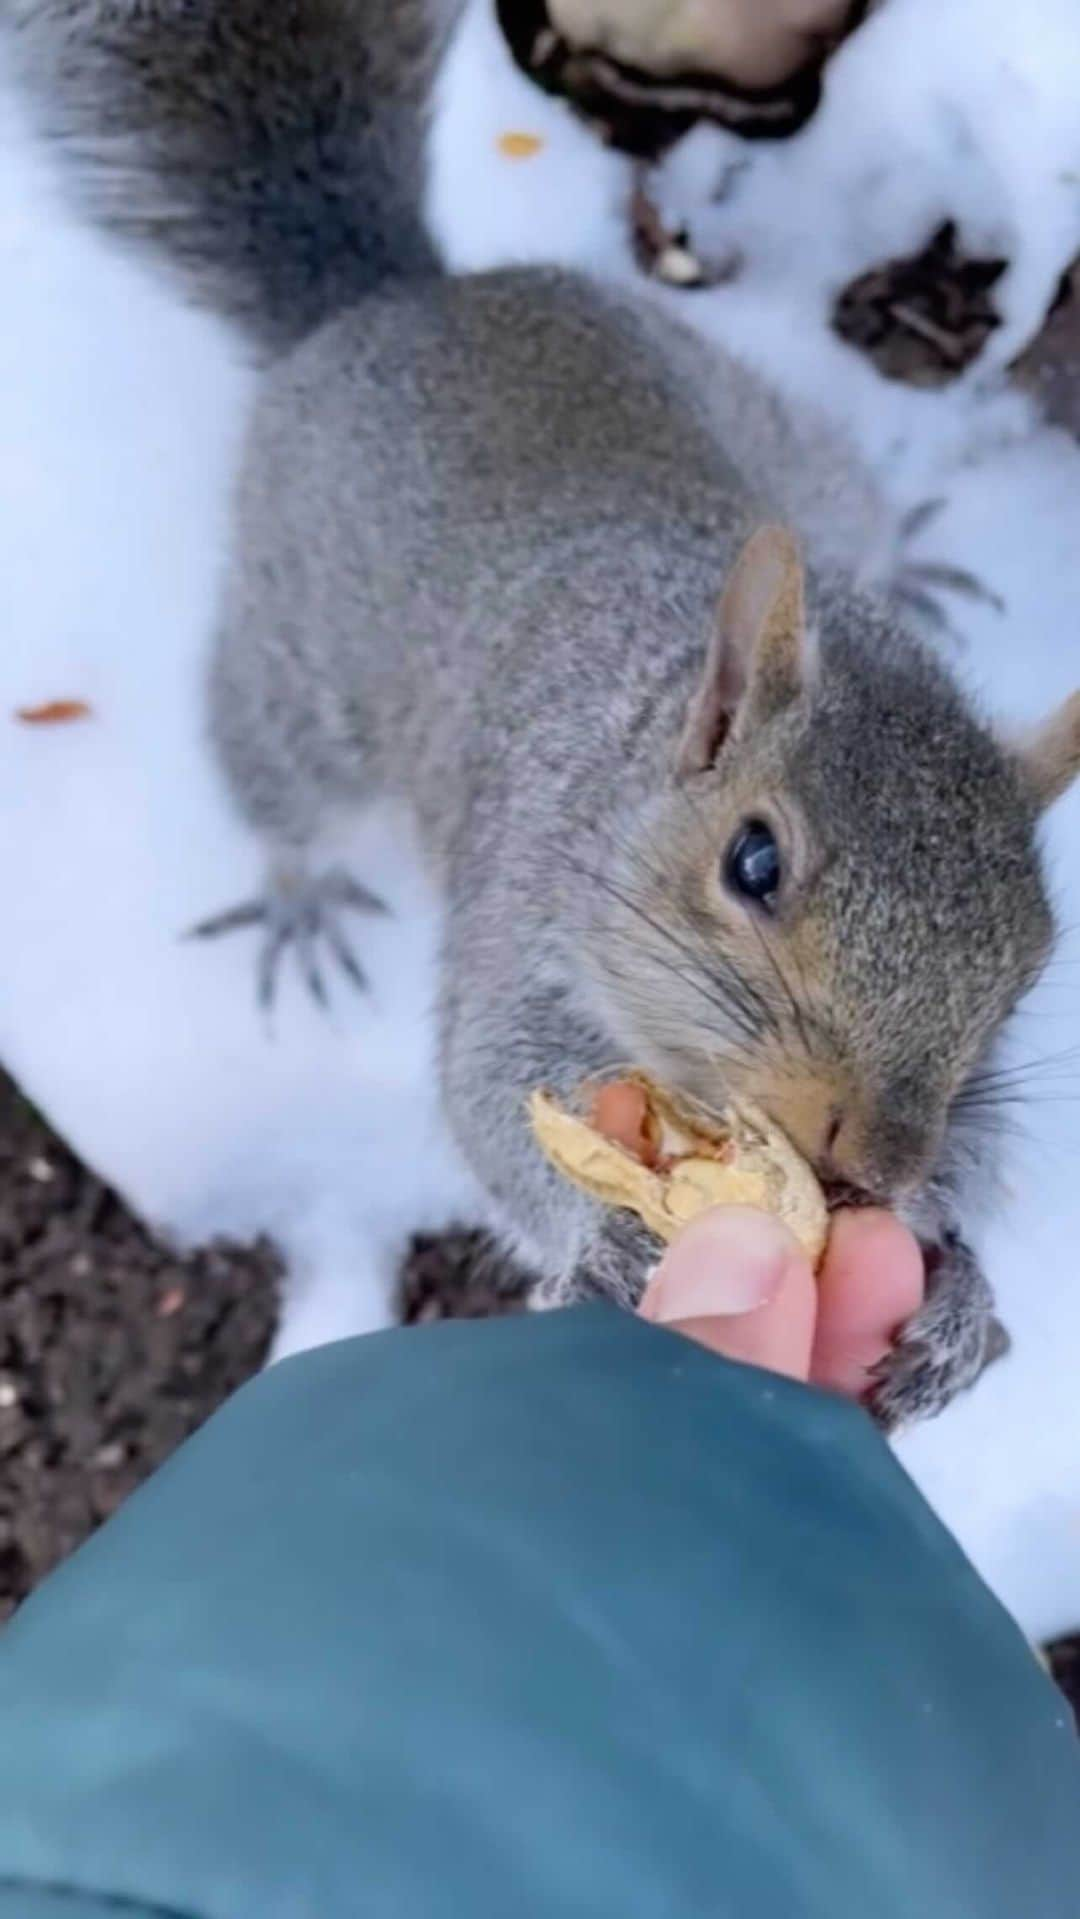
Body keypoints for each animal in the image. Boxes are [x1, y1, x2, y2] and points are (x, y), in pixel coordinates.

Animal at [8, 0, 1080, 1427]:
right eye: (753, 862)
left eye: (1029, 961)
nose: (875, 1164)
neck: (633, 738)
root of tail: (394, 297)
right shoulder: (520, 925)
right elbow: (483, 1093)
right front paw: (601, 1244)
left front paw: (961, 1294)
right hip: (297, 665)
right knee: (272, 775)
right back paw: (299, 897)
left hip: (783, 433)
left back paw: (909, 554)